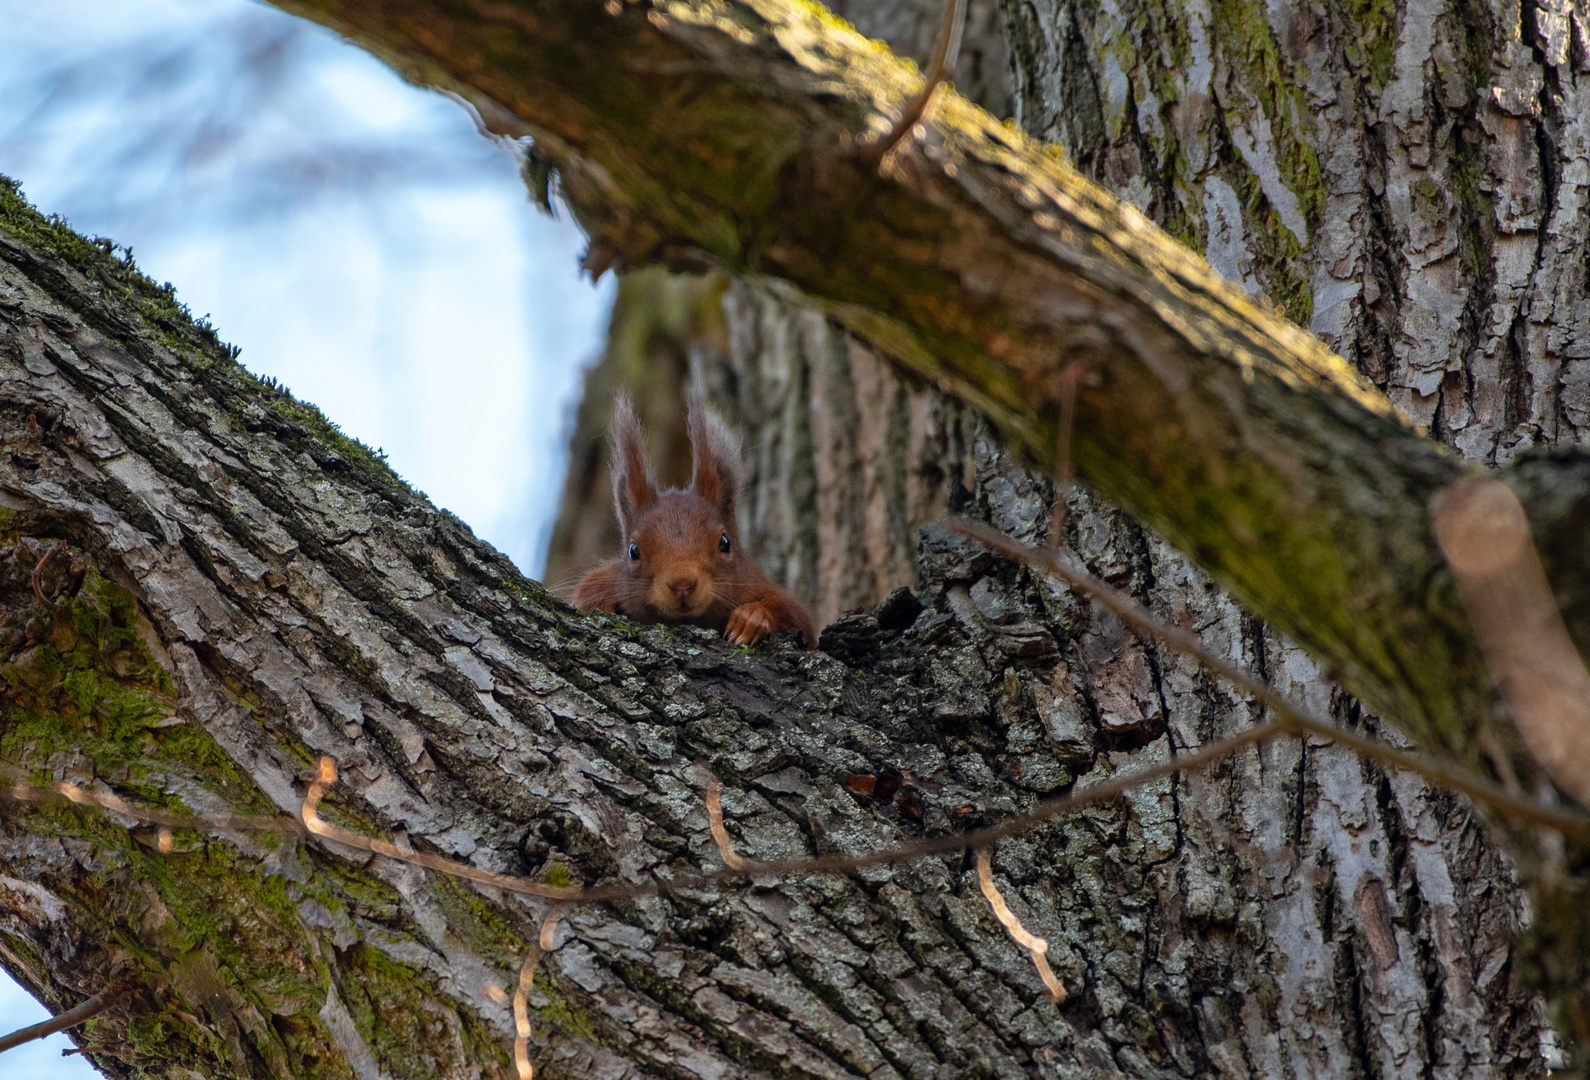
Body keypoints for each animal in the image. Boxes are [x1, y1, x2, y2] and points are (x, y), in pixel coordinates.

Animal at [575, 397, 820, 652]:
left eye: (725, 543)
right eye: (633, 551)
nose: (682, 584)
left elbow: (796, 615)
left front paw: (751, 619)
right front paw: (600, 598)